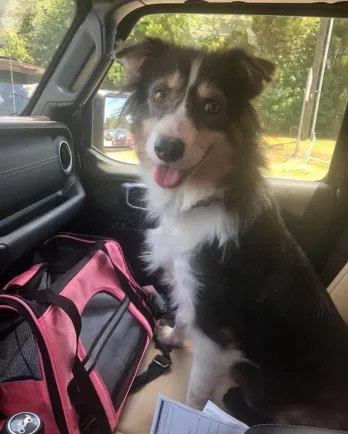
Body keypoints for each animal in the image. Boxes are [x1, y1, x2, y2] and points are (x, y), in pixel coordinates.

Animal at [117, 38, 348, 430]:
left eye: (213, 107)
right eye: (160, 95)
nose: (167, 149)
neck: (200, 199)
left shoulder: (216, 335)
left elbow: (194, 396)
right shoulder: (189, 290)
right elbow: (182, 319)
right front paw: (172, 337)